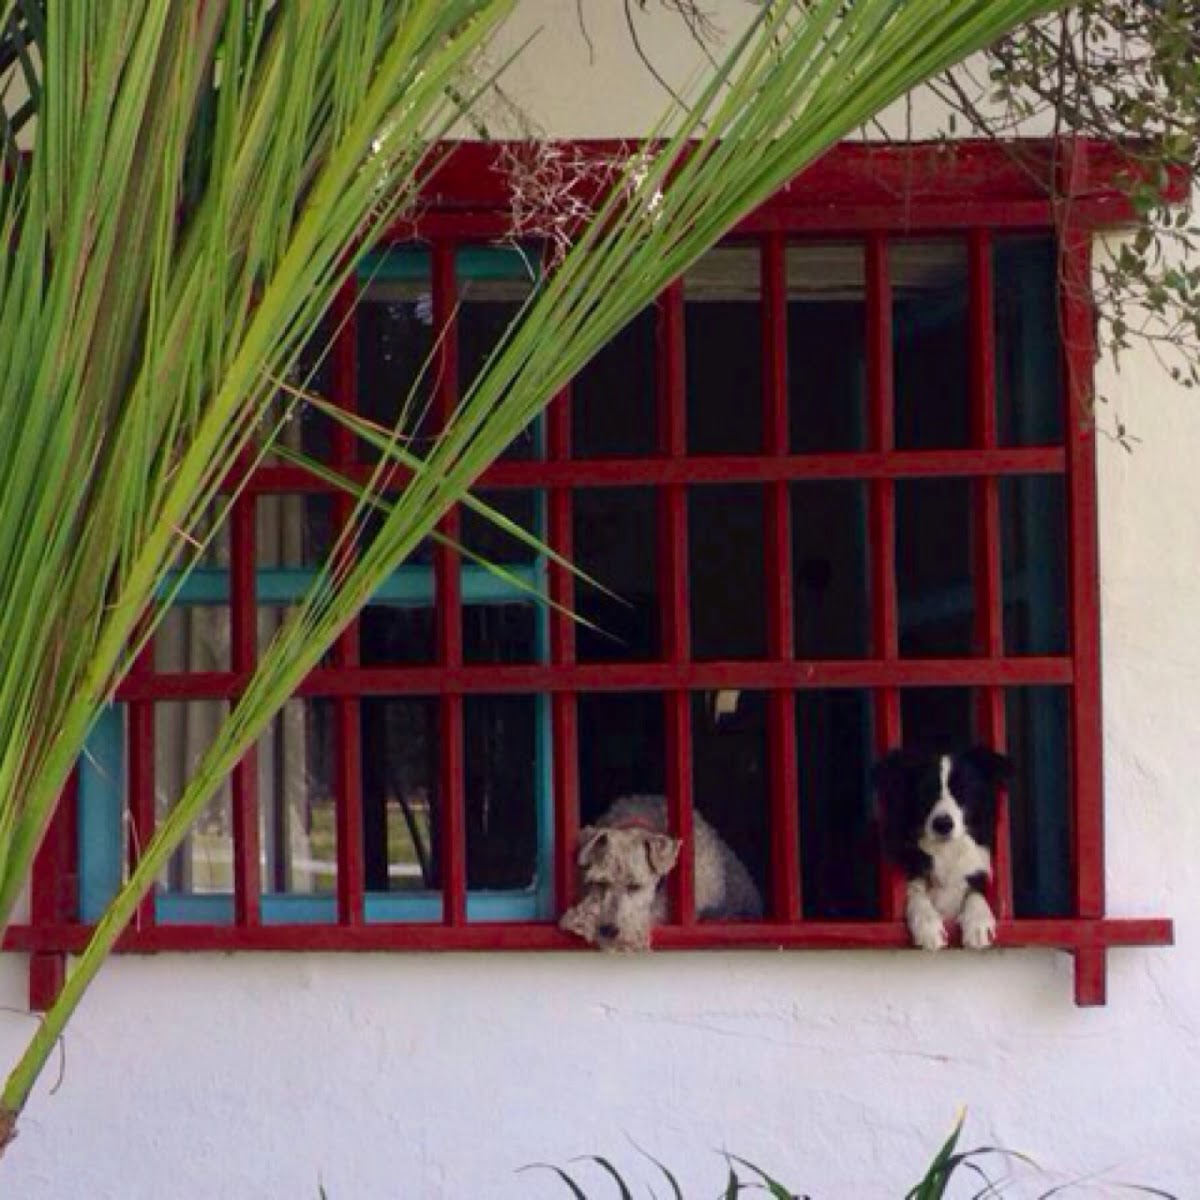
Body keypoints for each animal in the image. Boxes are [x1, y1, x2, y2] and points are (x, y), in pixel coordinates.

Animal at [873, 744, 1012, 950]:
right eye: (925, 792)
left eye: (963, 792)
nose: (943, 824)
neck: (946, 851)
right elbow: (916, 894)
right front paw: (928, 925)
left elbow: (975, 893)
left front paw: (978, 922)